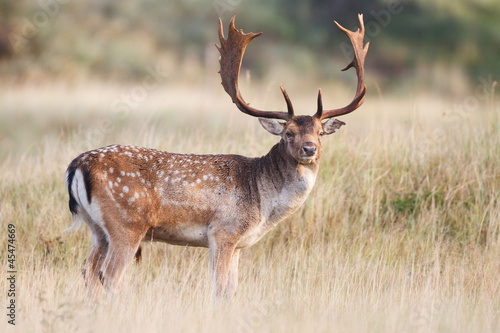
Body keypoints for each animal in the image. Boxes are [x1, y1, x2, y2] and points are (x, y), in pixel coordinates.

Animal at [65, 13, 368, 300]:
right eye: (288, 133)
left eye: (320, 132)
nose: (309, 149)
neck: (262, 201)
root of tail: (77, 165)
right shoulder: (223, 232)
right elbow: (220, 288)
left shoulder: (238, 245)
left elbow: (232, 290)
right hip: (127, 223)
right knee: (109, 275)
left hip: (97, 229)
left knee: (88, 271)